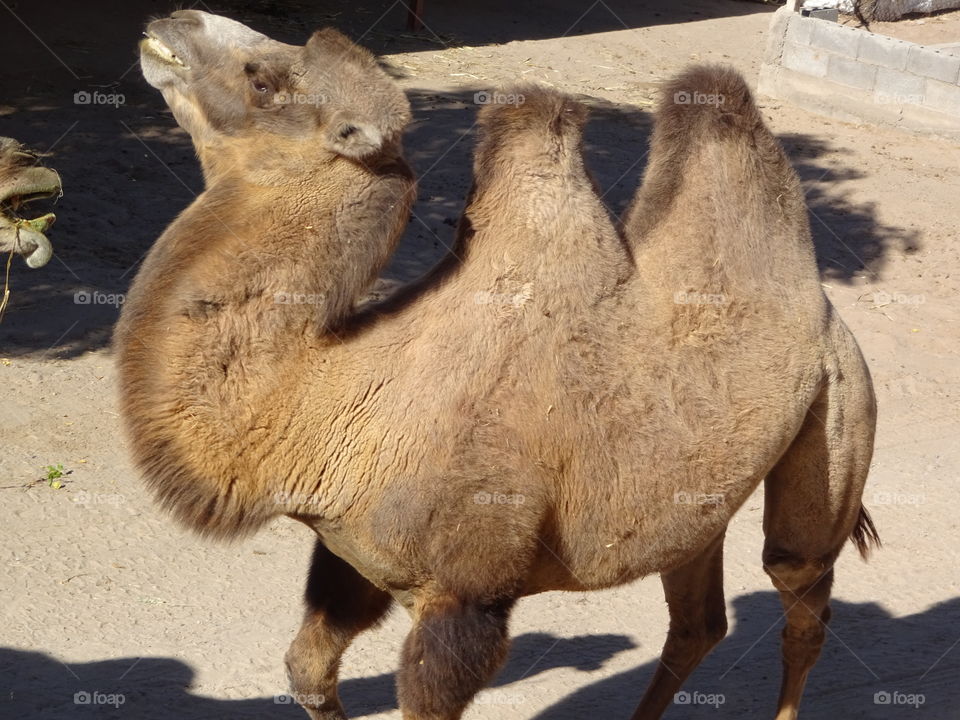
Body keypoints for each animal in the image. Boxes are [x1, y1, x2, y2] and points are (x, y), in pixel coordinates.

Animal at [116, 11, 880, 720]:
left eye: (264, 82)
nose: (171, 22)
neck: (336, 396)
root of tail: (828, 312)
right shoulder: (351, 556)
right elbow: (307, 671)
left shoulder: (466, 598)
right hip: (699, 498)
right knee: (699, 622)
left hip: (841, 413)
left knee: (800, 592)